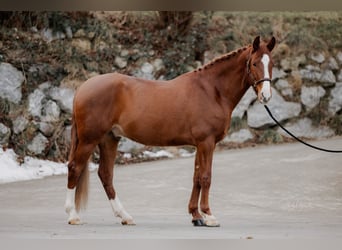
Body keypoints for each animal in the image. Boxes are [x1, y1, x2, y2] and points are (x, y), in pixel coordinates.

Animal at [65, 36, 276, 227]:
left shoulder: (199, 145)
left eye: (271, 63)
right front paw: (209, 216)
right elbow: (206, 177)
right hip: (89, 140)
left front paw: (196, 216)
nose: (265, 96)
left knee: (105, 174)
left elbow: (196, 178)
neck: (212, 91)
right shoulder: (206, 143)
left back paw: (125, 216)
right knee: (75, 168)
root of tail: (82, 87)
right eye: (254, 63)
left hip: (109, 139)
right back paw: (73, 216)